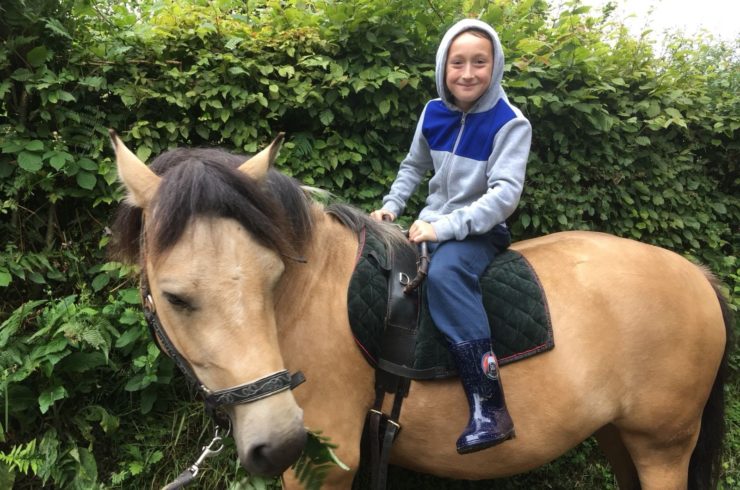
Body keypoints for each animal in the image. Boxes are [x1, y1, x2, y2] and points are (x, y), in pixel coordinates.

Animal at [108, 132, 731, 490]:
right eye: (176, 297)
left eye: (273, 276)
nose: (281, 439)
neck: (311, 297)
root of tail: (696, 276)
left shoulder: (327, 462)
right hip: (618, 435)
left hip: (662, 445)